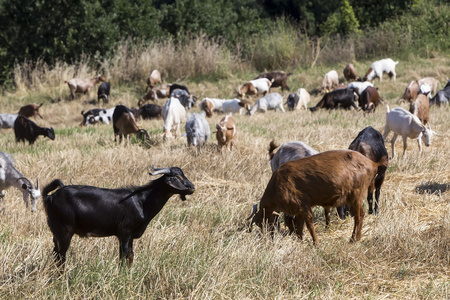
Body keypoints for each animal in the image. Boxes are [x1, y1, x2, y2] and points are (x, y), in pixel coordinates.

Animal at [42, 166, 195, 270]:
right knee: (61, 255)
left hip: (56, 232)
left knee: (56, 253)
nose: (192, 187)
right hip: (64, 230)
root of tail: (50, 197)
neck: (142, 201)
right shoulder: (124, 232)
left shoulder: (131, 235)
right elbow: (123, 256)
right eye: (178, 178)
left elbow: (131, 255)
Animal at [246, 150, 386, 244]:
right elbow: (300, 225)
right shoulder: (299, 210)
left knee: (359, 216)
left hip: (356, 195)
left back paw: (354, 239)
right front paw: (300, 240)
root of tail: (373, 163)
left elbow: (309, 223)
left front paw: (316, 243)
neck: (277, 184)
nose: (266, 238)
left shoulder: (303, 205)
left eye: (259, 223)